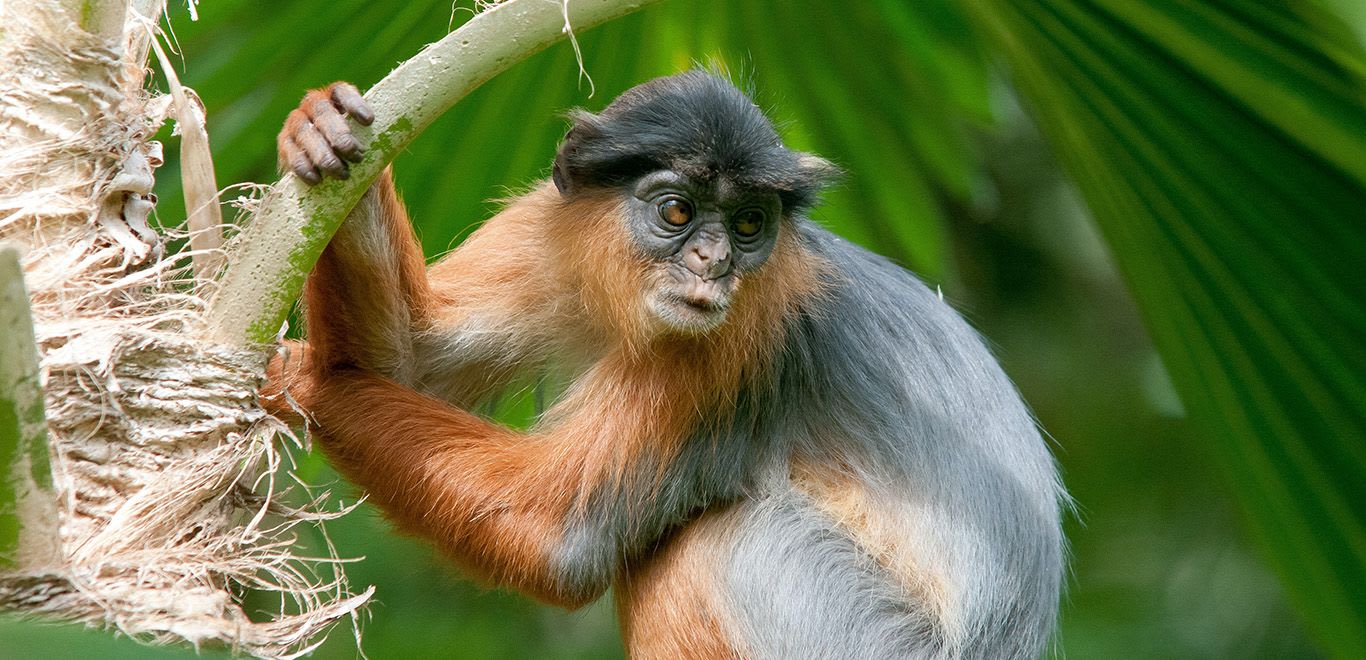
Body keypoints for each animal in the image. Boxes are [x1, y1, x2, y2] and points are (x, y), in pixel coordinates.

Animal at [266, 72, 1065, 660]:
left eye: (749, 224)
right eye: (678, 212)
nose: (713, 262)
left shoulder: (740, 336)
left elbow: (558, 541)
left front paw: (300, 382)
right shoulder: (549, 228)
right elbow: (402, 363)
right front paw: (321, 131)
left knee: (718, 542)